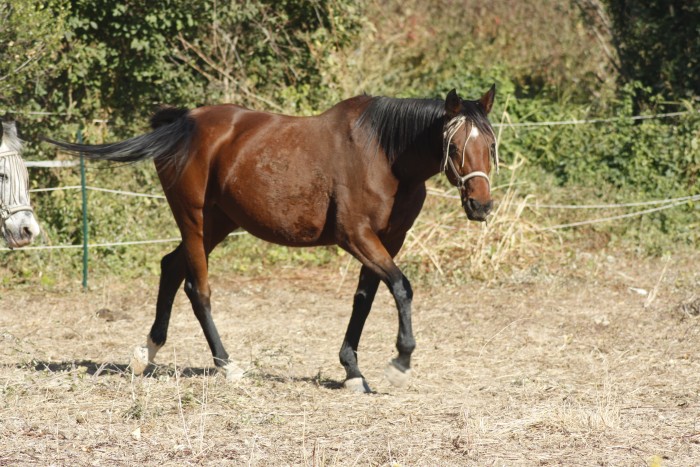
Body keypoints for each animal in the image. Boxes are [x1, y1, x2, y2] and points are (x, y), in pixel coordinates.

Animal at [46, 87, 498, 392]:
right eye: (455, 145)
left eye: (490, 144)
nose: (481, 205)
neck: (384, 157)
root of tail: (184, 122)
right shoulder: (357, 237)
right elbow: (401, 288)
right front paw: (400, 360)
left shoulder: (389, 239)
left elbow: (365, 299)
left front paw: (352, 371)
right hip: (193, 220)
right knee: (197, 287)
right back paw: (226, 365)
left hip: (218, 223)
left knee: (171, 268)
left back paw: (148, 353)